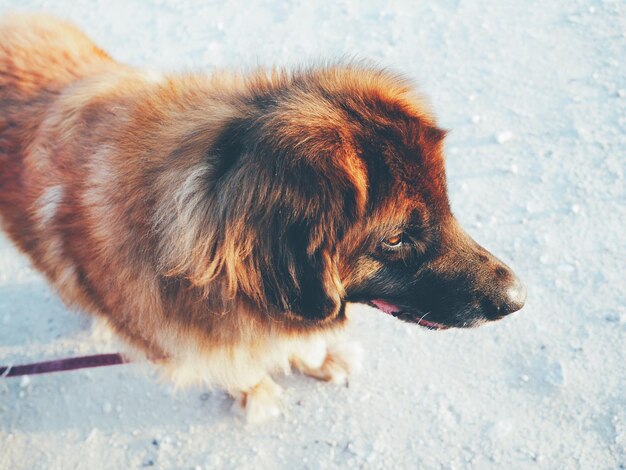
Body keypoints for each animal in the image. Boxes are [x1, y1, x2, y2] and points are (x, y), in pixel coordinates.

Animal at [1, 13, 520, 422]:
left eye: (446, 205)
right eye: (394, 240)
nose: (519, 299)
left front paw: (316, 356)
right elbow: (240, 365)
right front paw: (258, 390)